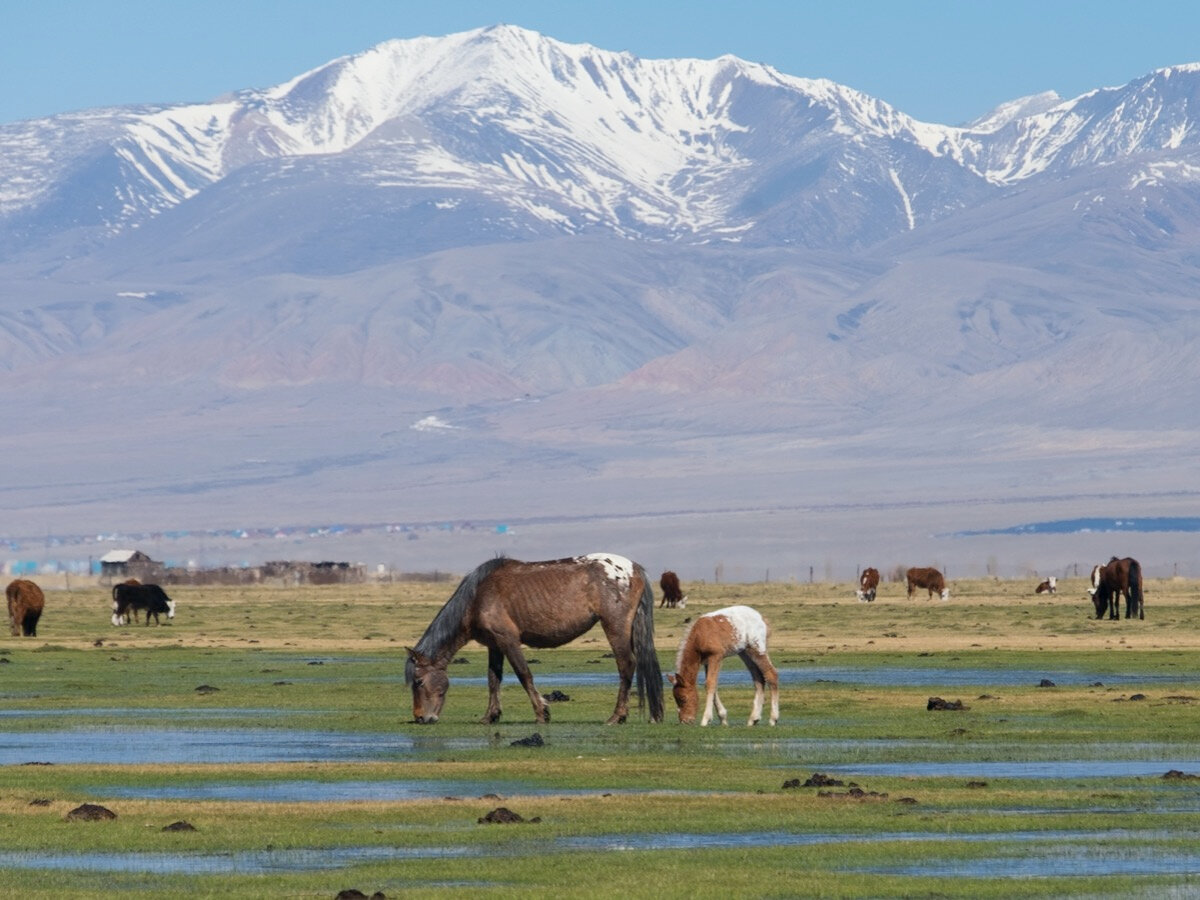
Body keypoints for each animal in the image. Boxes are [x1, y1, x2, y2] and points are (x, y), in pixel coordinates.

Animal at [405, 554, 667, 729]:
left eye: (418, 681)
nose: (420, 717)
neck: (477, 596)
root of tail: (633, 568)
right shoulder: (494, 645)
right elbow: (493, 679)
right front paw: (490, 715)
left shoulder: (508, 641)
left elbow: (524, 674)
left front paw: (542, 712)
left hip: (615, 627)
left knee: (626, 665)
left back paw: (616, 716)